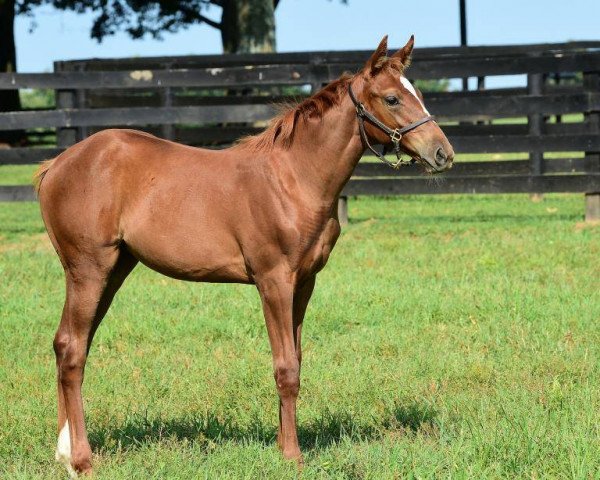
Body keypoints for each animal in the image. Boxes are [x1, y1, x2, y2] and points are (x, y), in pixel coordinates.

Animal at [35, 34, 452, 476]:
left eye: (418, 94)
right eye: (392, 98)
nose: (443, 153)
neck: (293, 178)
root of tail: (56, 164)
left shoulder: (304, 283)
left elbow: (297, 360)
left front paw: (283, 443)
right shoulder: (273, 281)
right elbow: (285, 369)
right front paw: (292, 456)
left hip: (114, 269)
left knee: (68, 344)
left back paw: (64, 451)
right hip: (88, 269)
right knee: (73, 350)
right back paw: (81, 460)